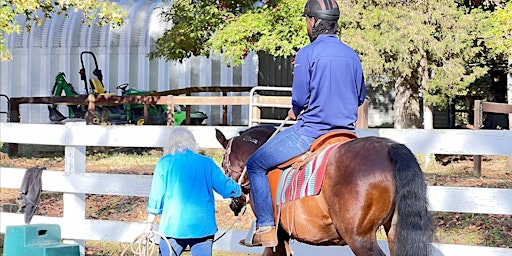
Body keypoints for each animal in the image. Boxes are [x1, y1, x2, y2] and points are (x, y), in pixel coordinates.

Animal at [214, 126, 434, 256]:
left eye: (224, 166)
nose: (234, 204)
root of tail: (390, 148)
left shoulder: (275, 237)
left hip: (360, 238)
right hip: (395, 232)